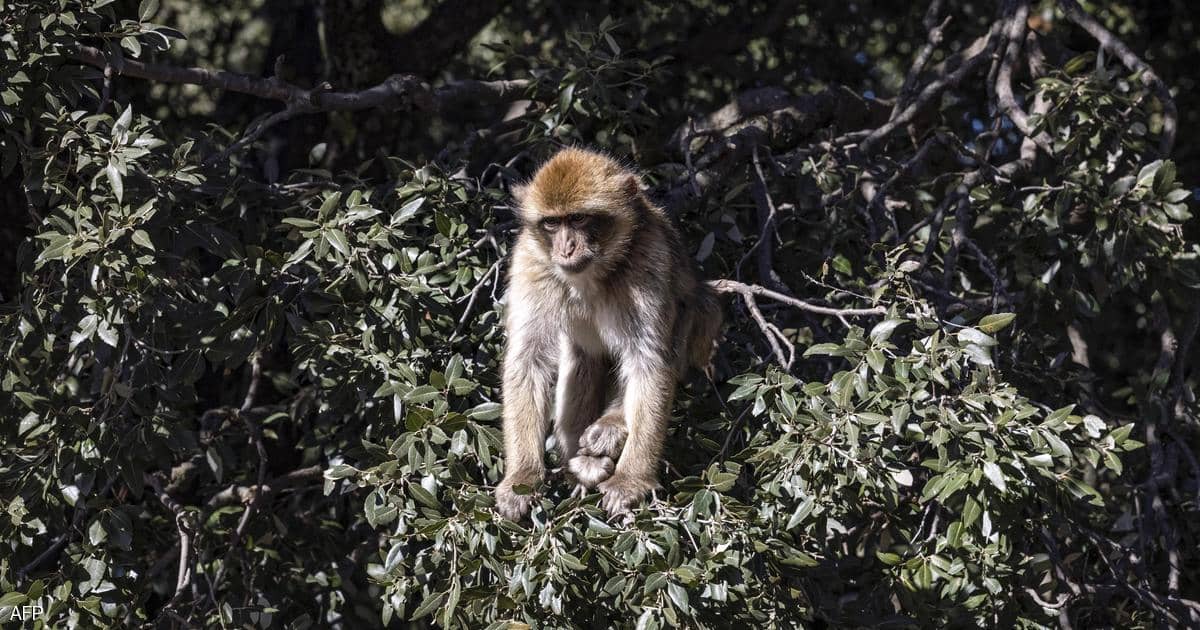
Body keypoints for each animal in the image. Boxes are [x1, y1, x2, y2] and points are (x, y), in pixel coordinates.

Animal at [494, 147, 720, 520]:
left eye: (579, 220)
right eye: (552, 223)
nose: (566, 248)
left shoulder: (647, 260)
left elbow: (649, 362)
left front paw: (631, 480)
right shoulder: (531, 262)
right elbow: (527, 360)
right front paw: (521, 478)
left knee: (690, 314)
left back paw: (609, 429)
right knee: (581, 359)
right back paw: (582, 463)